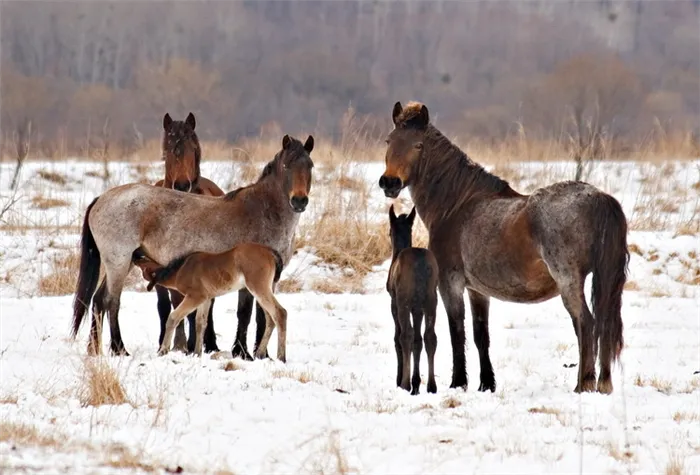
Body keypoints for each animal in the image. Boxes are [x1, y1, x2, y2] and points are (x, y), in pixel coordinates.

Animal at [130, 242, 286, 360]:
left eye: (144, 262)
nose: (135, 254)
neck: (181, 270)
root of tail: (270, 252)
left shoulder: (195, 297)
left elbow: (173, 318)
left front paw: (163, 350)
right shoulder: (206, 299)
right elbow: (200, 323)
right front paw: (197, 353)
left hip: (258, 288)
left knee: (280, 313)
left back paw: (281, 357)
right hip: (265, 290)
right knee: (271, 318)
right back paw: (260, 354)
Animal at [154, 112, 226, 356]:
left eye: (193, 149)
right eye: (168, 149)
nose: (182, 184)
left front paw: (192, 343)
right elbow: (170, 304)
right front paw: (175, 343)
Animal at [386, 205, 440, 394]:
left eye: (389, 231)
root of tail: (421, 266)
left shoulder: (394, 302)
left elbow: (398, 338)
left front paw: (401, 379)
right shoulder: (418, 308)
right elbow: (418, 340)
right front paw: (416, 382)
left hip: (404, 300)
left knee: (406, 334)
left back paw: (405, 383)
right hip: (431, 301)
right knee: (430, 336)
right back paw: (431, 385)